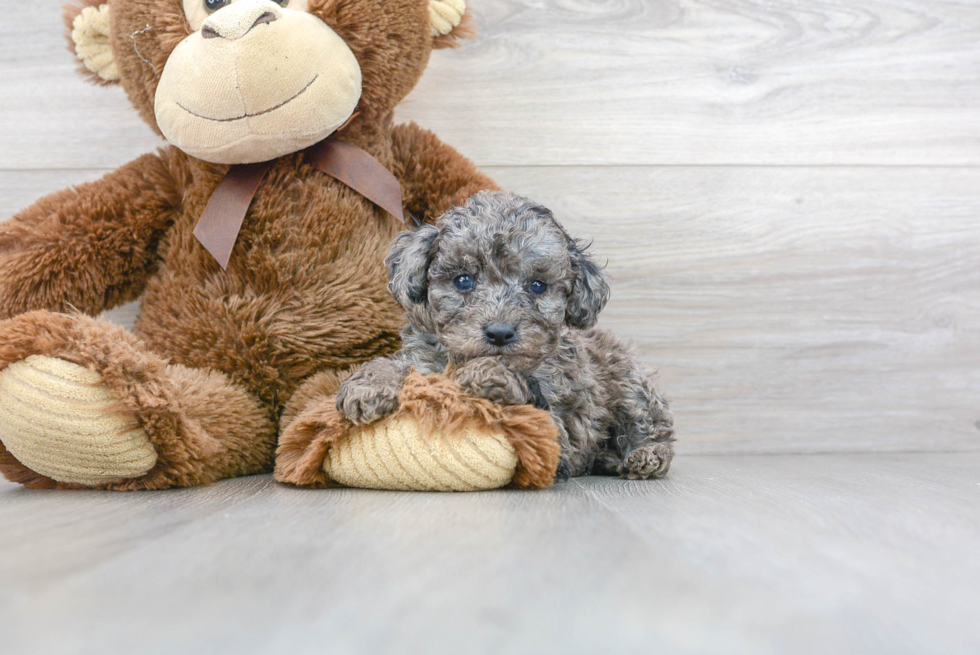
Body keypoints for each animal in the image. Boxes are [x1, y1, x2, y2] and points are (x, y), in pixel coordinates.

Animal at [336, 192, 672, 480]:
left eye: (537, 285)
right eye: (463, 280)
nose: (499, 333)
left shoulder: (560, 432)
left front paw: (489, 372)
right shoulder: (425, 358)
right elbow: (397, 365)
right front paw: (368, 385)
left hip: (630, 383)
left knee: (653, 427)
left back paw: (646, 455)